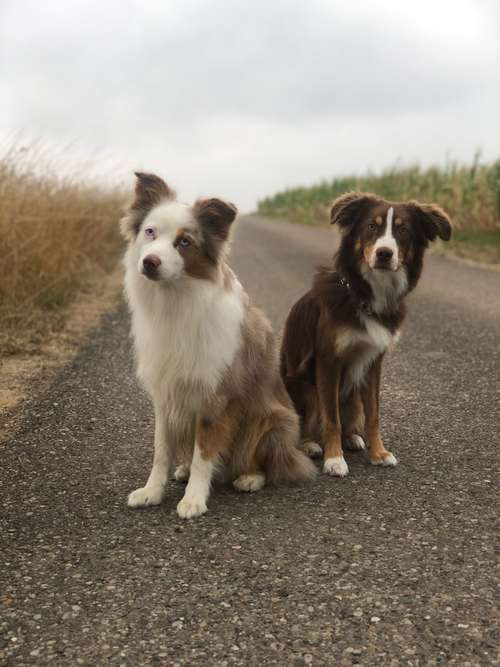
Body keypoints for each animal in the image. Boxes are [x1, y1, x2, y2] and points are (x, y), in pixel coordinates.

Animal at [120, 175, 314, 520]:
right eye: (150, 231)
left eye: (184, 242)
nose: (149, 262)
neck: (176, 299)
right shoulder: (165, 392)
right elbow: (161, 451)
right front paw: (152, 491)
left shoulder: (215, 395)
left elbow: (205, 451)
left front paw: (194, 499)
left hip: (271, 419)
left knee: (266, 461)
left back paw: (249, 477)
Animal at [282, 190, 454, 478]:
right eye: (371, 226)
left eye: (403, 230)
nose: (384, 254)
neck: (364, 297)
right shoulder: (328, 360)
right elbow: (331, 417)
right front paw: (334, 459)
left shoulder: (374, 361)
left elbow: (373, 415)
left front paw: (379, 453)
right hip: (303, 386)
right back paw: (311, 445)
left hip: (353, 395)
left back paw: (352, 438)